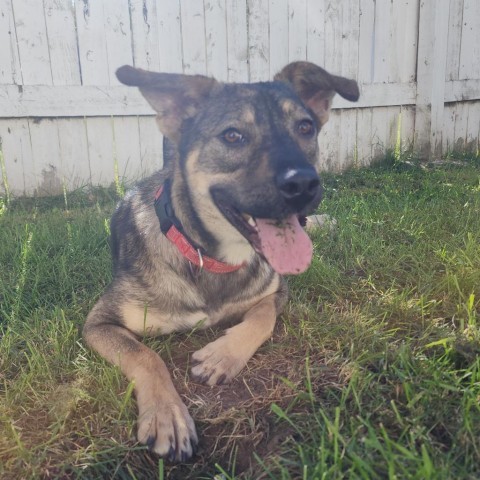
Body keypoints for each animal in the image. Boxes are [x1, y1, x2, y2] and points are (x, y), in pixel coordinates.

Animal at [84, 60, 358, 462]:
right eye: (232, 136)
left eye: (305, 127)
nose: (304, 185)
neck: (211, 259)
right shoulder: (98, 323)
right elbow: (145, 355)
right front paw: (167, 415)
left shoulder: (277, 290)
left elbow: (263, 317)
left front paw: (223, 355)